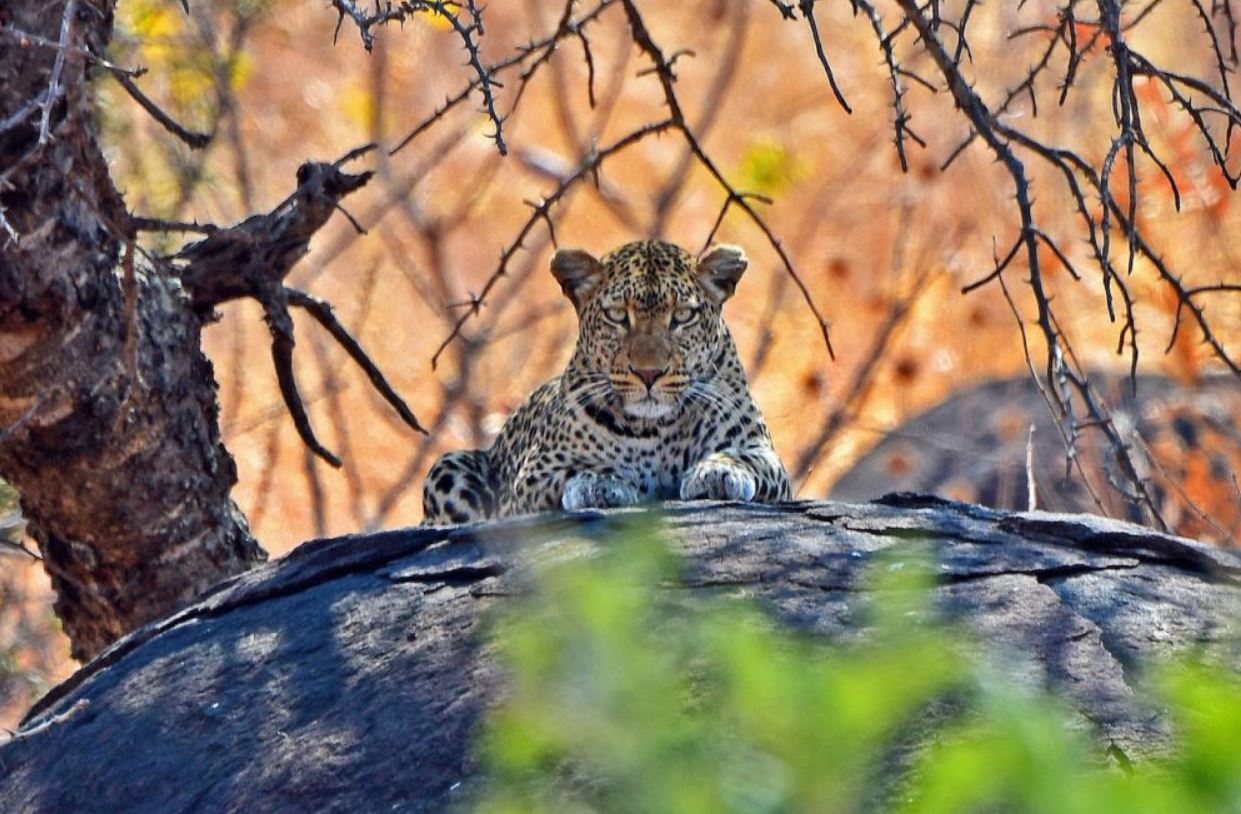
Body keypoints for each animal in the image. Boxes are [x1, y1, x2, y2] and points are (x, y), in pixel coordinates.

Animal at [421, 239, 792, 525]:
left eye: (683, 316)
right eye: (616, 316)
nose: (648, 373)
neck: (656, 429)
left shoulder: (761, 451)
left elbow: (748, 459)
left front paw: (719, 472)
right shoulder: (533, 475)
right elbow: (572, 472)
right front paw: (599, 482)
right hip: (448, 466)